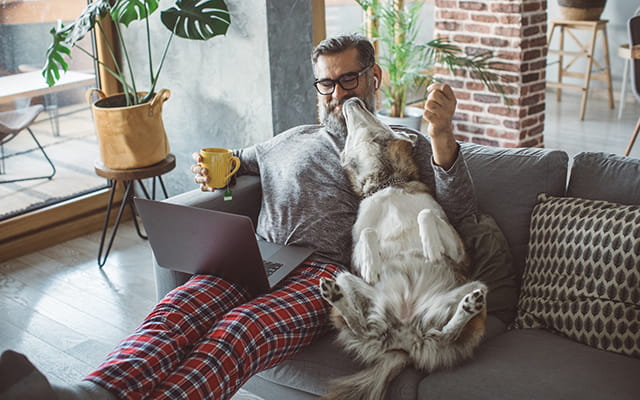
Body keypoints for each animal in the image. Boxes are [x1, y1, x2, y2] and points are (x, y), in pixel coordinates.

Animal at [318, 97, 488, 400]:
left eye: (373, 114)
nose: (352, 99)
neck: (388, 185)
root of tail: (404, 342)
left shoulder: (459, 250)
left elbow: (426, 215)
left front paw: (431, 247)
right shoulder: (353, 254)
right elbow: (368, 234)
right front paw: (372, 265)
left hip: (477, 288)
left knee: (447, 333)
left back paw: (468, 308)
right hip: (344, 277)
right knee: (361, 326)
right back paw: (335, 296)